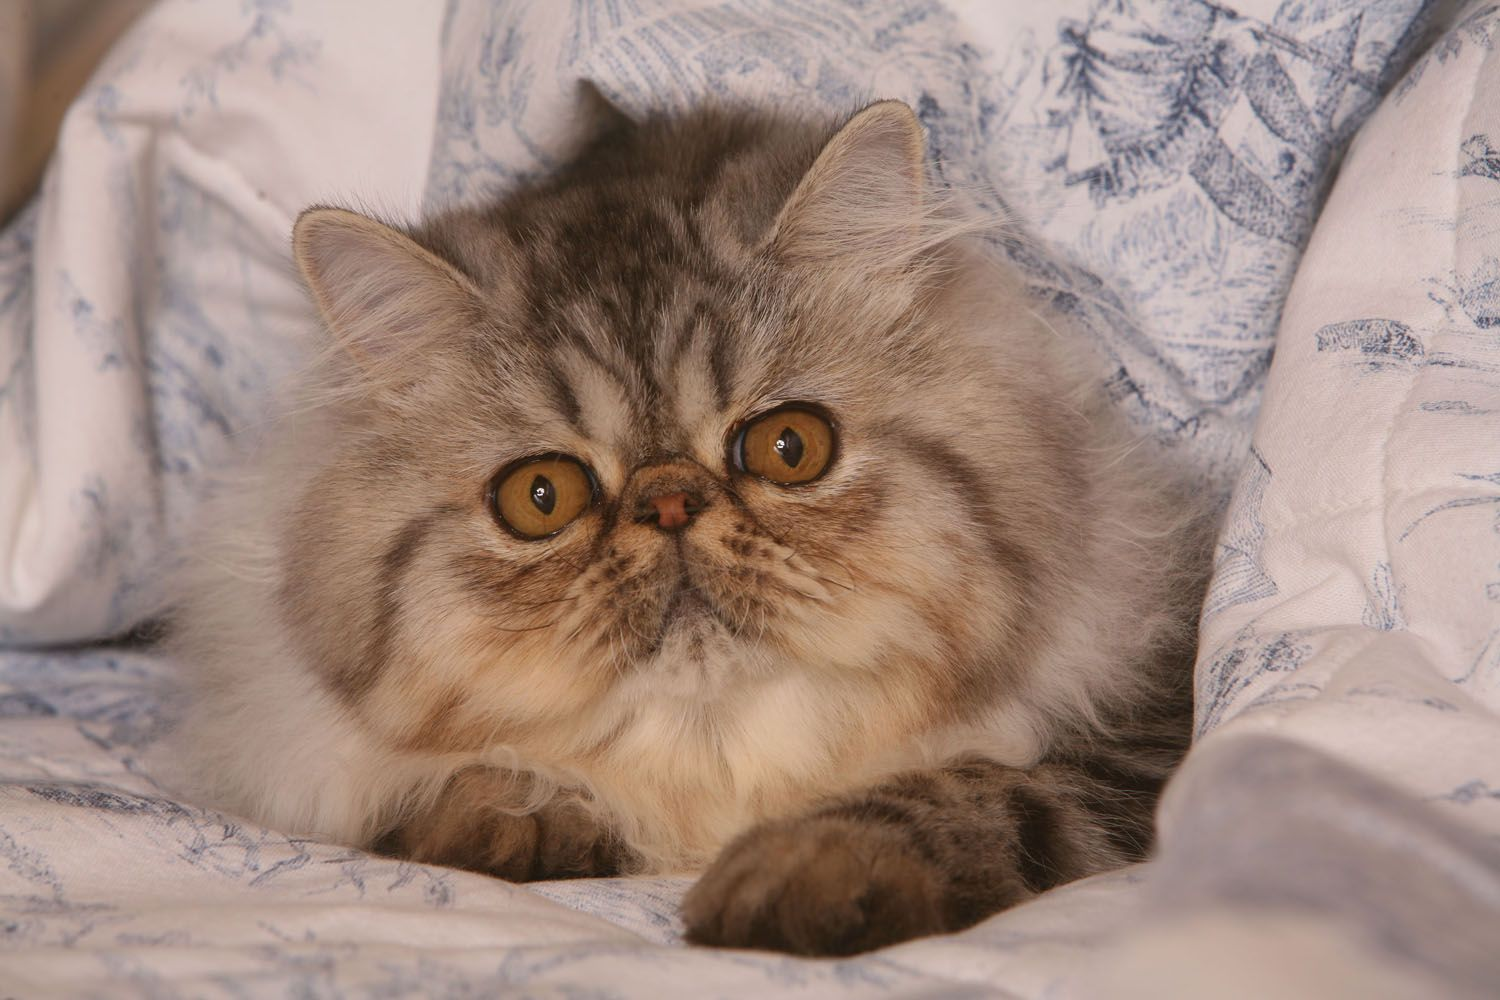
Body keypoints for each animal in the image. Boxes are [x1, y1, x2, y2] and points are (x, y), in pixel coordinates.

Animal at [172, 91, 1218, 953]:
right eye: (541, 497)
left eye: (790, 447)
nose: (669, 503)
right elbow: (469, 784)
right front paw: (511, 816)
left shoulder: (1144, 735)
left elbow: (980, 790)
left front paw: (805, 870)